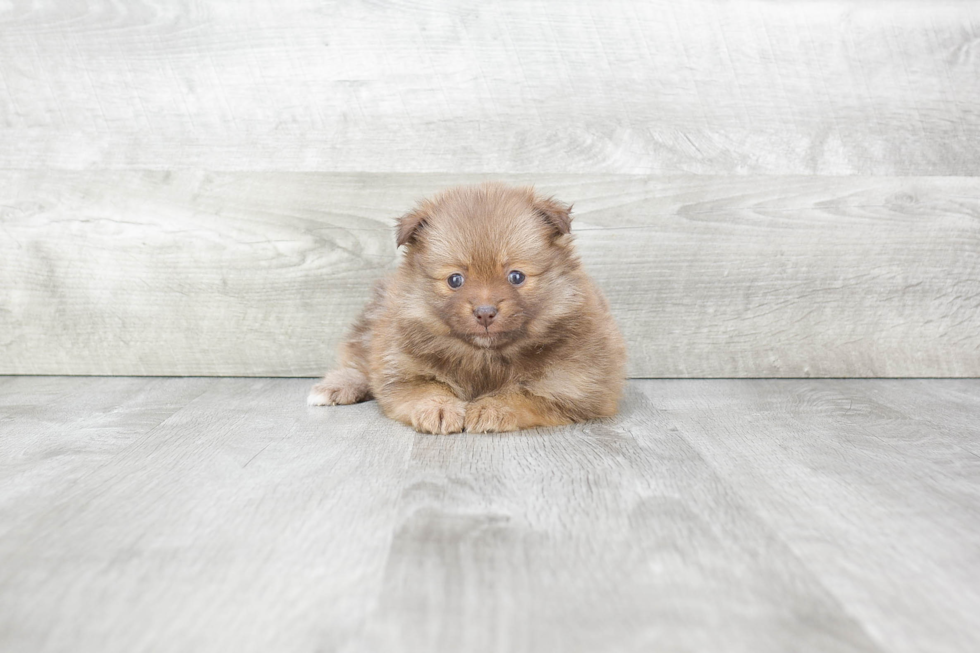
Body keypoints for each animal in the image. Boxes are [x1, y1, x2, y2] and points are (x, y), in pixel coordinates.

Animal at [308, 182, 628, 432]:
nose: (485, 312)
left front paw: (491, 408)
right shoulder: (401, 371)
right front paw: (440, 409)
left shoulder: (573, 387)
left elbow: (523, 394)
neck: (485, 358)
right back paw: (335, 387)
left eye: (516, 276)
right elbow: (428, 388)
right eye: (455, 280)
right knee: (358, 361)